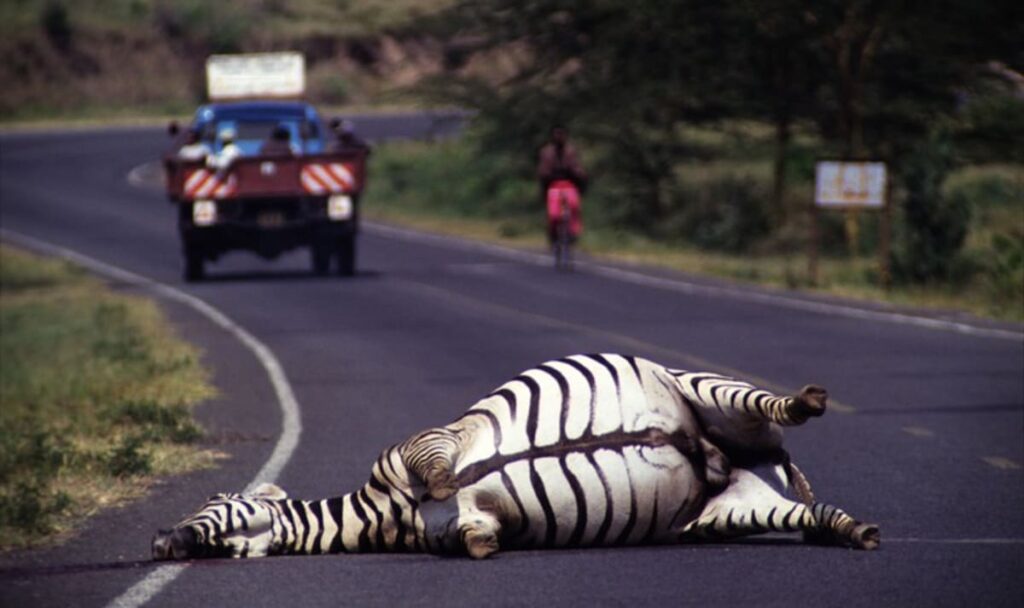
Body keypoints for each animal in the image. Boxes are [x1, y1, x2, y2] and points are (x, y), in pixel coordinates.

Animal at [152, 354, 879, 560]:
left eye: (213, 500)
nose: (161, 541)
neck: (382, 511)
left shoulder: (421, 443)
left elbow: (440, 470)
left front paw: (442, 485)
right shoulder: (464, 527)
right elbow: (472, 536)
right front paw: (482, 540)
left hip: (697, 387)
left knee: (771, 404)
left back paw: (807, 401)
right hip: (731, 511)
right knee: (815, 517)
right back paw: (857, 531)